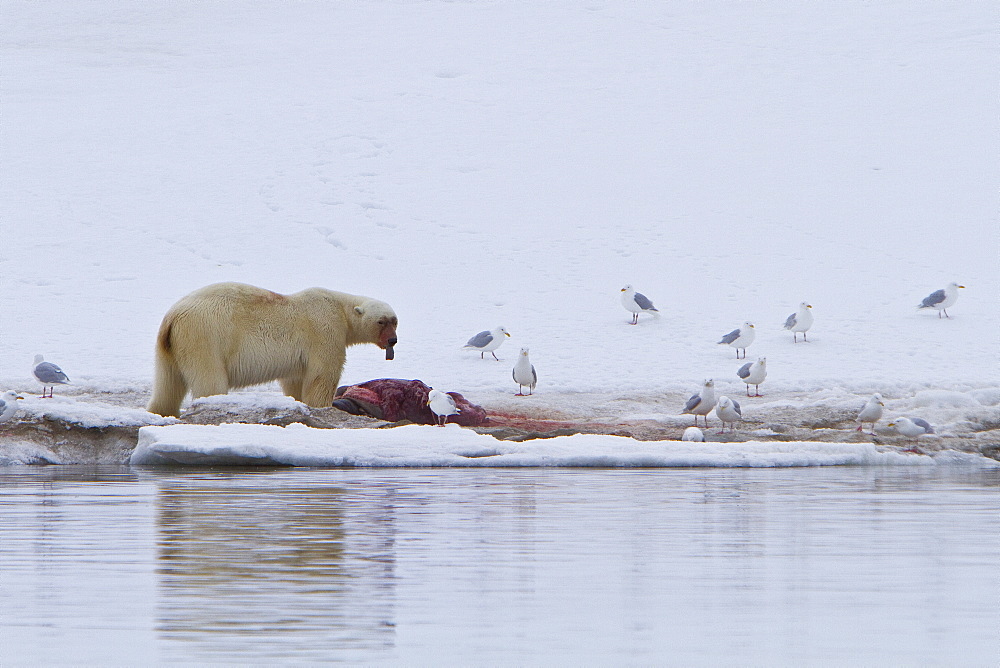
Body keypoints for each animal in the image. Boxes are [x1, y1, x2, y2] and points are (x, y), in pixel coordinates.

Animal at [146, 282, 396, 418]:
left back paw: (162, 411)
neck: (340, 308)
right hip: (205, 336)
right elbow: (322, 375)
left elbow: (295, 379)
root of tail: (173, 316)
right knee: (209, 379)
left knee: (168, 383)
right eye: (381, 321)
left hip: (170, 346)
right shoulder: (325, 330)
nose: (392, 341)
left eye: (395, 321)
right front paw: (322, 406)